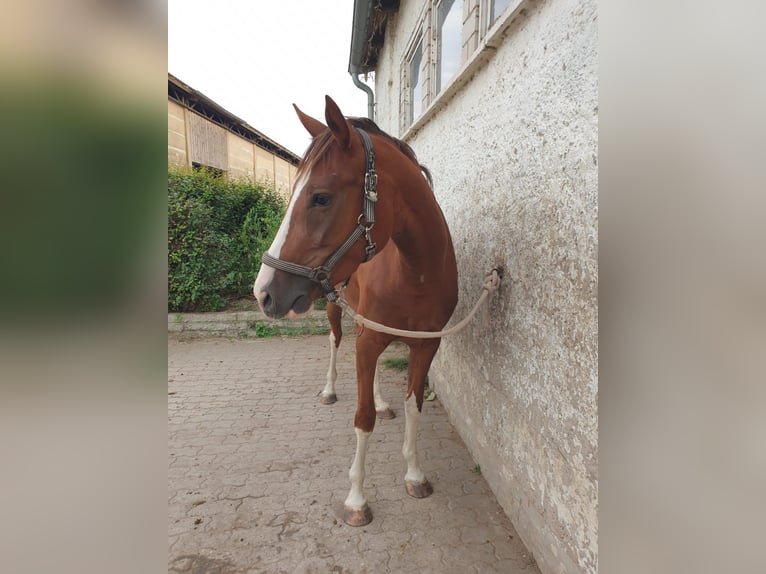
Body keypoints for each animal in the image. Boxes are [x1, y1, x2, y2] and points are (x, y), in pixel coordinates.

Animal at [253, 96, 458, 526]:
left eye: (321, 197)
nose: (263, 292)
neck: (415, 270)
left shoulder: (425, 346)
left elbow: (414, 406)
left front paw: (415, 475)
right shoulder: (366, 341)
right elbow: (363, 419)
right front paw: (356, 500)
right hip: (337, 310)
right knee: (334, 342)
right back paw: (330, 390)